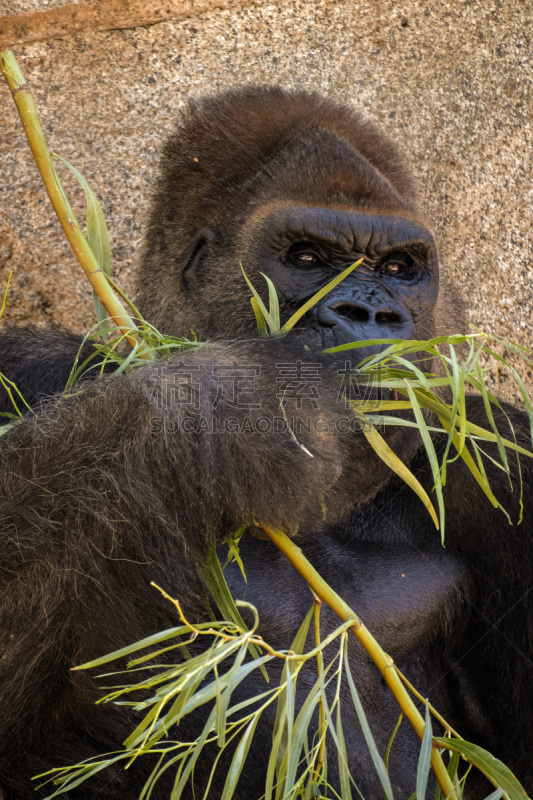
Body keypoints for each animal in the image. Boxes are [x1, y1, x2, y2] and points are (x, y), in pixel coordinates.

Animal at [1, 84, 532, 796]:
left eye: (399, 268)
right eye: (306, 258)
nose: (370, 313)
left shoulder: (502, 462)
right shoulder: (33, 368)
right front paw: (225, 410)